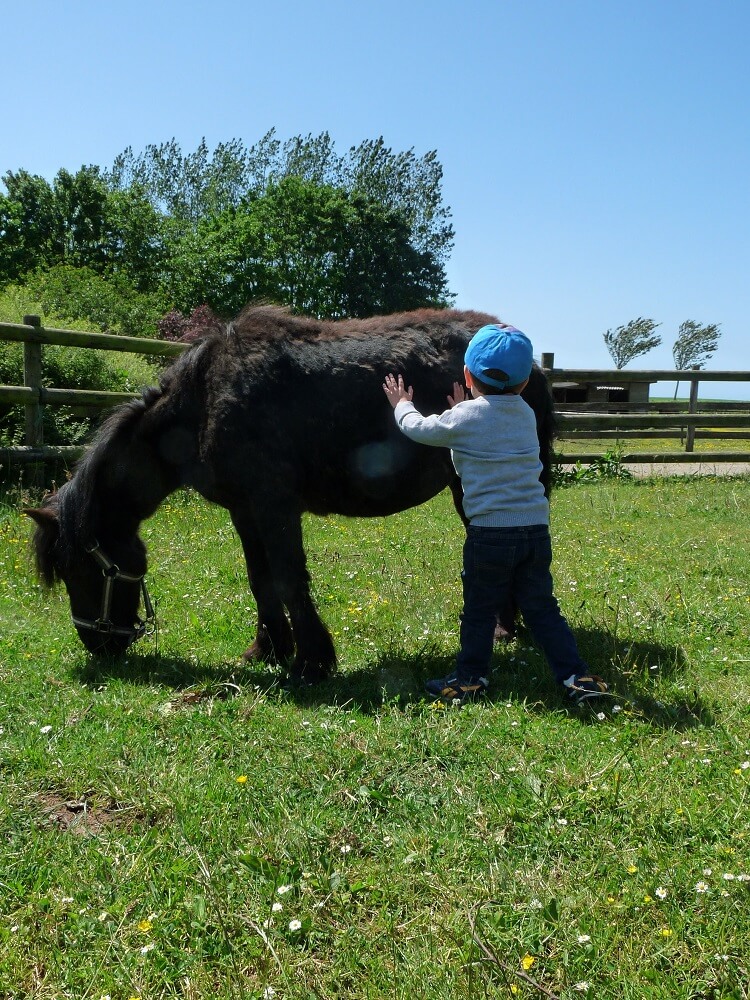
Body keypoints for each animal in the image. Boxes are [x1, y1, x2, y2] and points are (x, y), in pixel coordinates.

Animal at [27, 304, 560, 680]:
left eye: (81, 569)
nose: (100, 644)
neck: (203, 406)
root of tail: (534, 365)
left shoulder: (274, 506)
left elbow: (288, 578)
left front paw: (311, 661)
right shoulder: (244, 511)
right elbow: (260, 579)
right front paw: (269, 648)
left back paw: (503, 629)